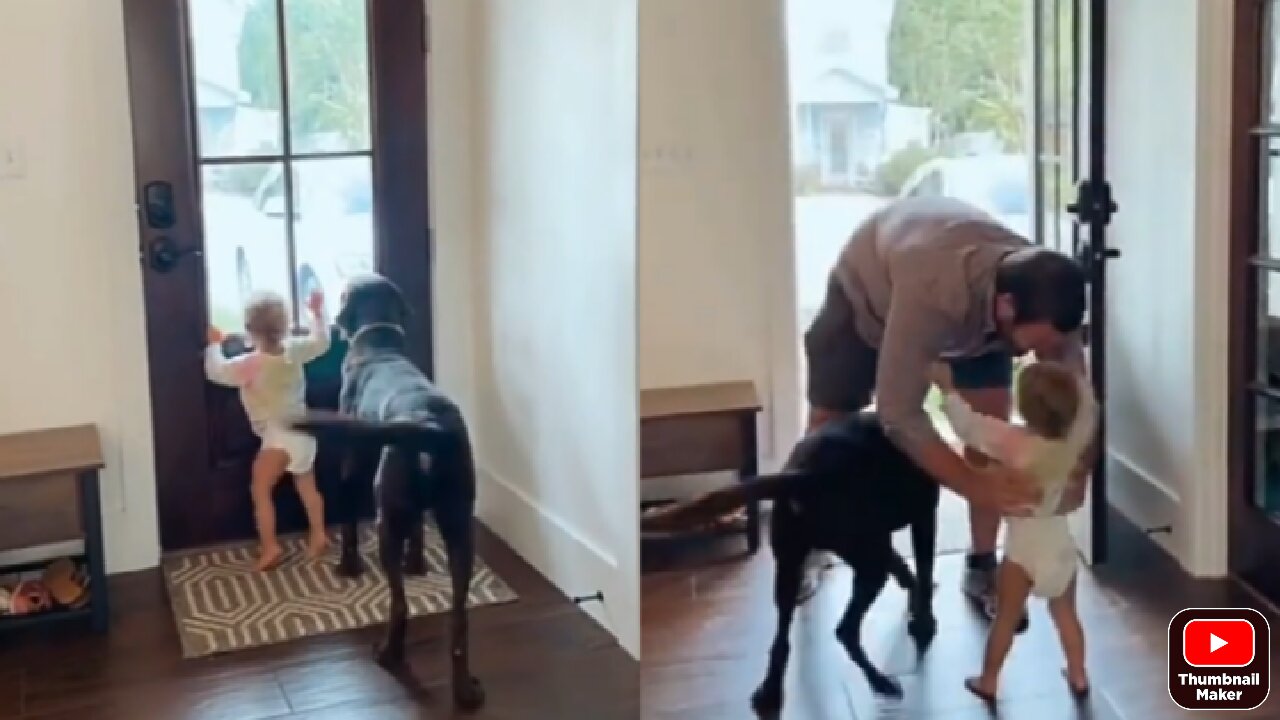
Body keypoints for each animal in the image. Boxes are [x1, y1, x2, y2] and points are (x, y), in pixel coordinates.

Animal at [290, 271, 483, 707]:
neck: (378, 343)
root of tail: (429, 425)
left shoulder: (353, 462)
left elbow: (347, 518)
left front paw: (348, 566)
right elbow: (418, 533)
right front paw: (418, 564)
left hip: (386, 516)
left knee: (400, 604)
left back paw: (389, 654)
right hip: (458, 519)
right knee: (459, 616)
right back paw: (465, 690)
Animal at [645, 409, 936, 712]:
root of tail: (807, 474)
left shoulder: (881, 540)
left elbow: (905, 567)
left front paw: (913, 598)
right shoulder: (922, 517)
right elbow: (924, 569)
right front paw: (924, 621)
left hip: (793, 566)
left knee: (783, 638)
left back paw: (771, 691)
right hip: (866, 560)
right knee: (845, 630)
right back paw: (881, 681)